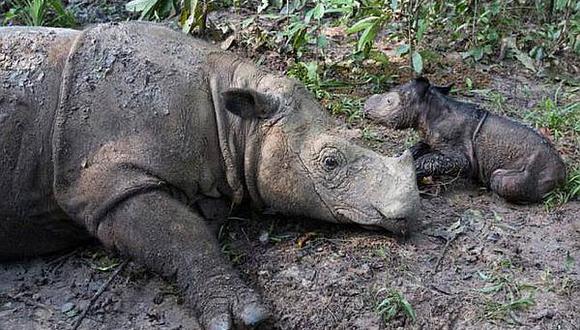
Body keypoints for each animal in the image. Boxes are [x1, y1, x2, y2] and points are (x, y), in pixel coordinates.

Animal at [0, 22, 420, 328]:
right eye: (330, 163)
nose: (410, 211)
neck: (233, 123)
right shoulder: (106, 185)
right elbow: (181, 234)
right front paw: (243, 315)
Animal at [364, 78, 564, 205]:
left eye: (389, 101)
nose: (365, 108)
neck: (428, 108)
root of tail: (564, 173)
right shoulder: (433, 139)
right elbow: (419, 147)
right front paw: (398, 160)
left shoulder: (462, 157)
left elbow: (430, 160)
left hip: (534, 170)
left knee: (499, 180)